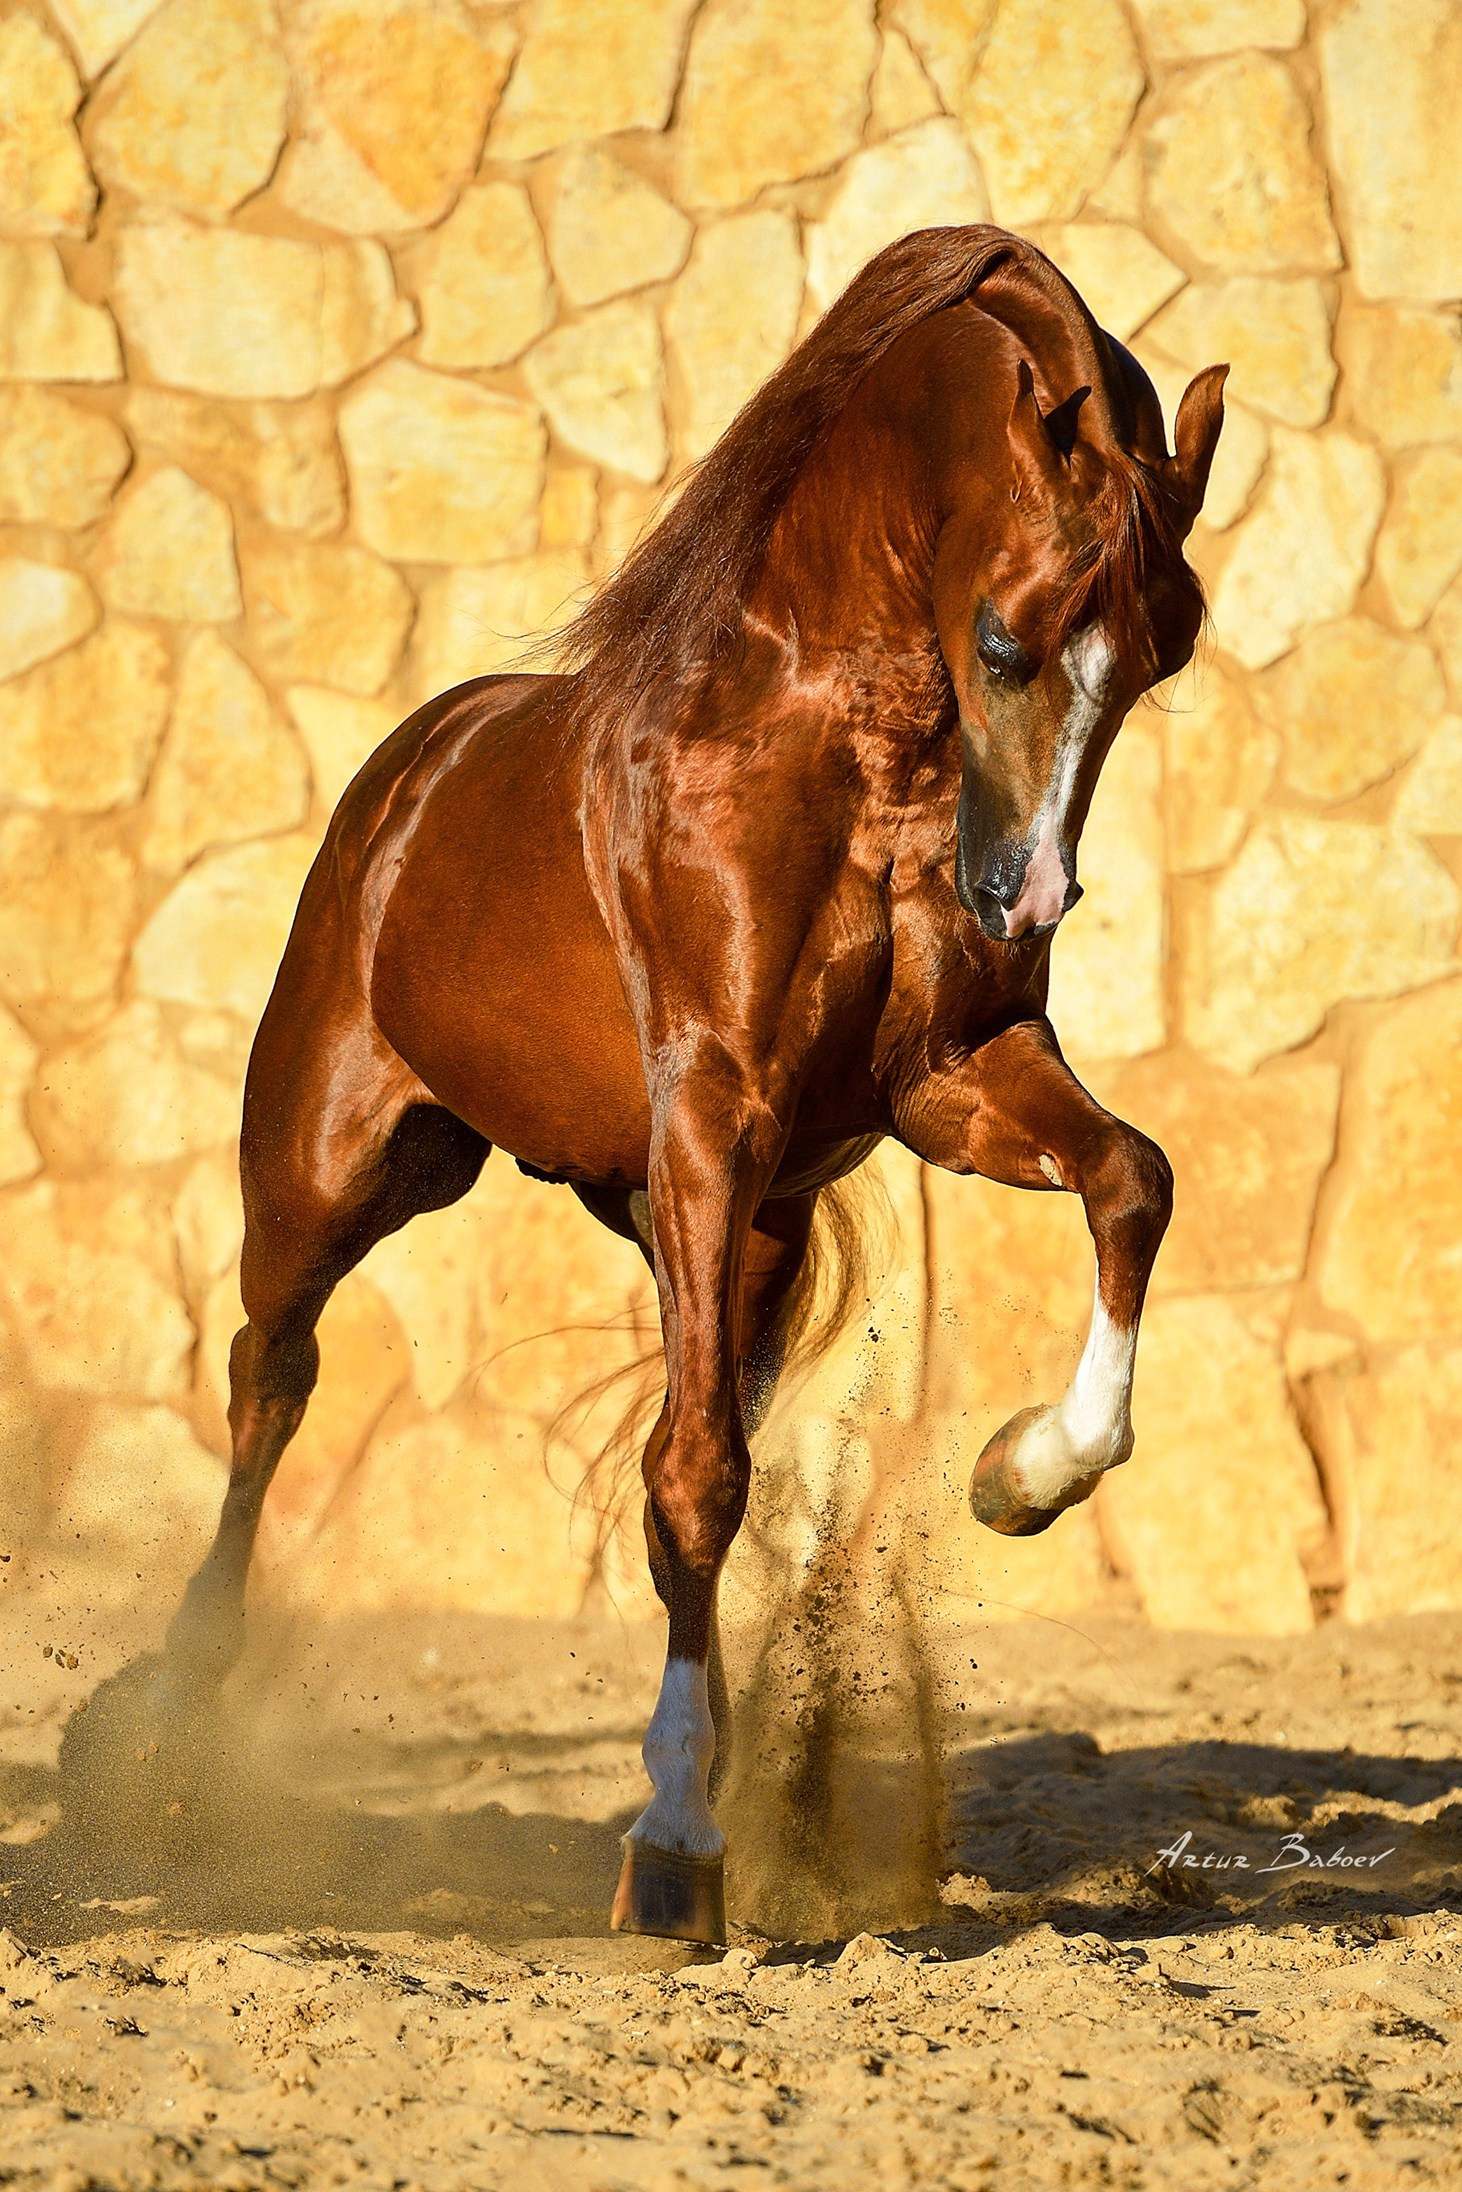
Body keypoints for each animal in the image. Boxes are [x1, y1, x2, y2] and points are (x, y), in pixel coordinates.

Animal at [151, 224, 1227, 1945]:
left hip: (740, 1237)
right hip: (337, 1170)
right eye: (1003, 638)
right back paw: (169, 1731)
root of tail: (401, 784)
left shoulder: (949, 1083)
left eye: (1156, 659)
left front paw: (1022, 1474)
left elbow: (1134, 1179)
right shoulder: (713, 1115)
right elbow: (698, 1478)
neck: (848, 757)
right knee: (271, 1382)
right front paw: (671, 1851)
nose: (1027, 899)